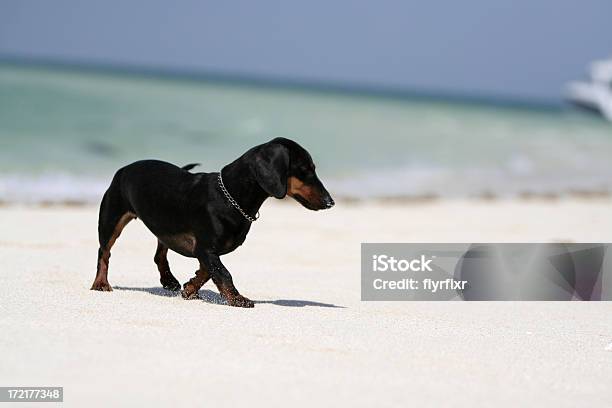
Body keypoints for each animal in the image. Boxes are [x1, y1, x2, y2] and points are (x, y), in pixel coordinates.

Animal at [91, 137, 334, 306]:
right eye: (304, 170)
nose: (330, 202)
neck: (230, 196)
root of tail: (125, 168)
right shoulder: (206, 248)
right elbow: (223, 272)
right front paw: (237, 299)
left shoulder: (207, 250)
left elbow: (209, 271)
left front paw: (190, 288)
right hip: (111, 220)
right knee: (104, 252)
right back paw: (100, 284)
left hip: (164, 227)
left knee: (160, 254)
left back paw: (169, 280)